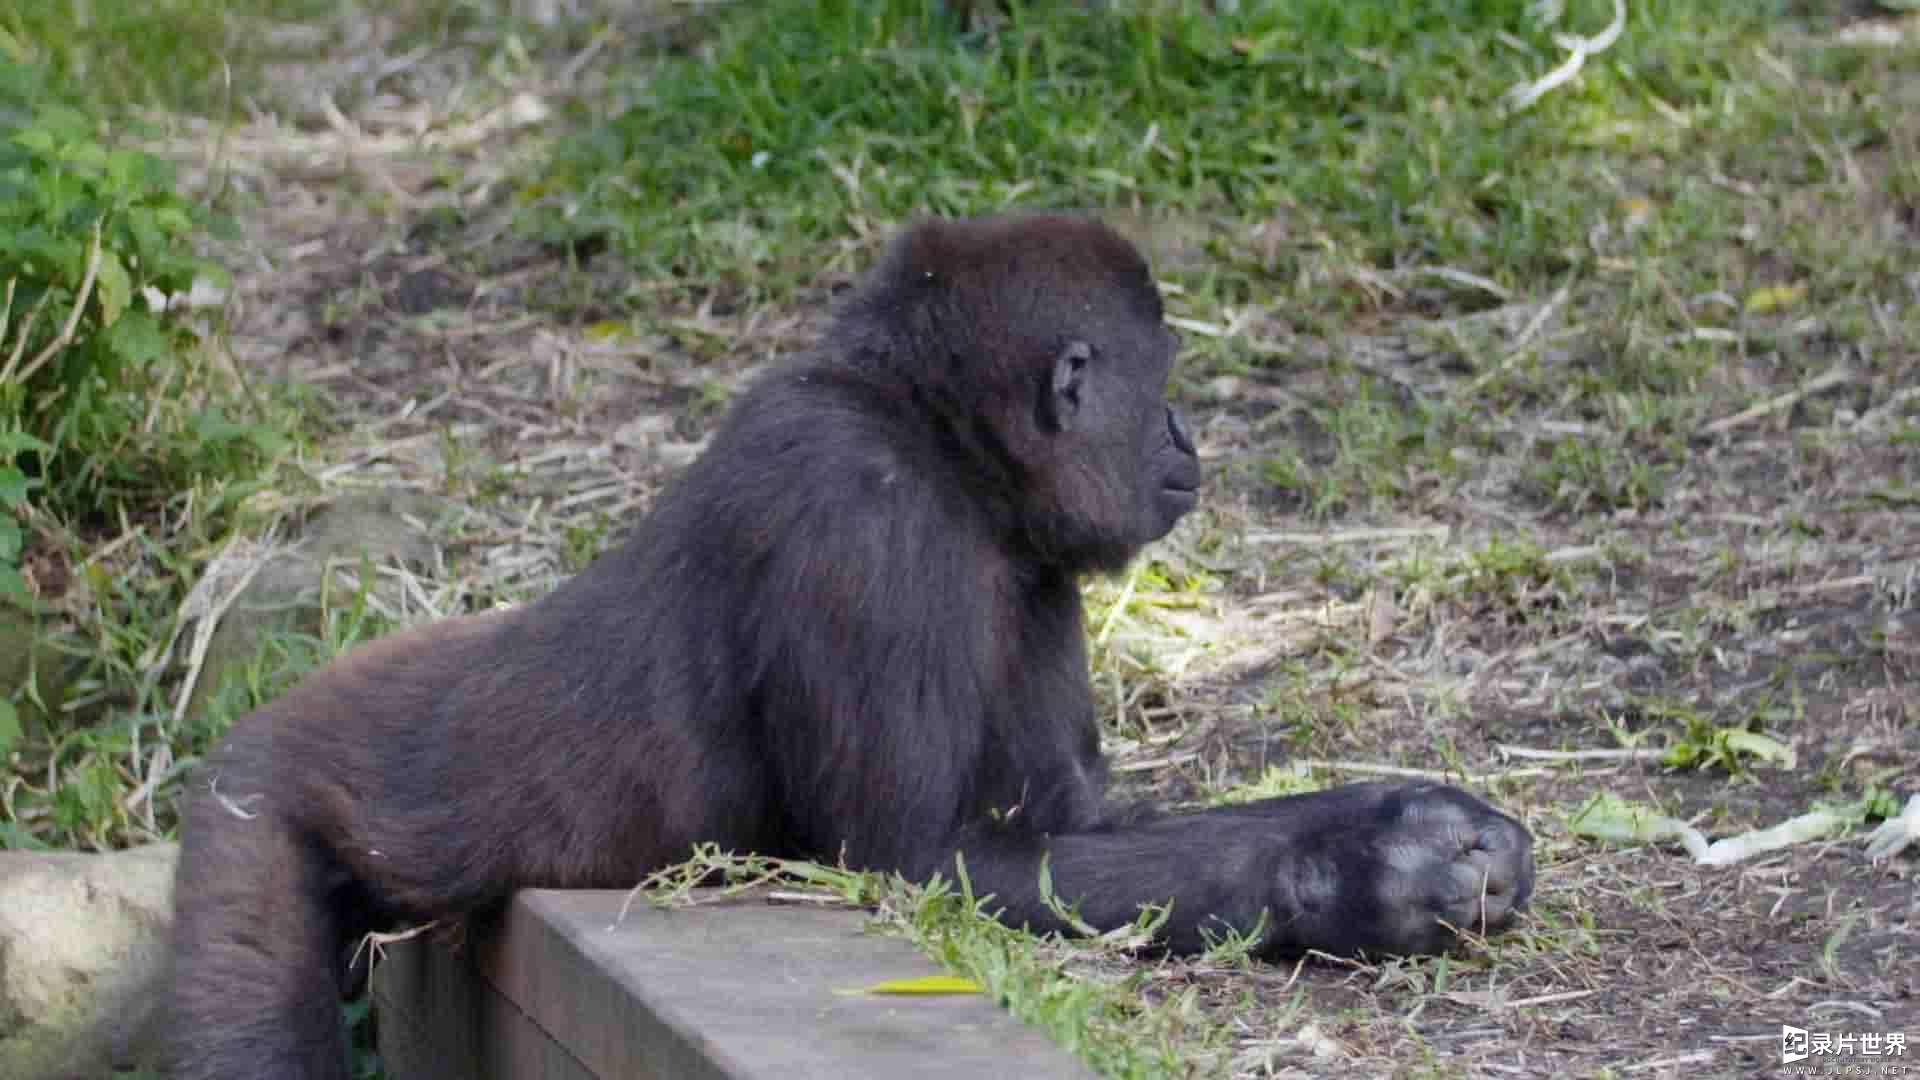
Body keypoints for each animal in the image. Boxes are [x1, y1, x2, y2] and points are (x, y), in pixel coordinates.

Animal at [165, 212, 1528, 1076]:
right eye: (1158, 388)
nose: (1187, 437)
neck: (926, 424)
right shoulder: (861, 512)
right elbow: (917, 860)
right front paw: (1362, 865)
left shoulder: (1034, 560)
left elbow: (1071, 828)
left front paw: (1386, 843)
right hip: (254, 794)